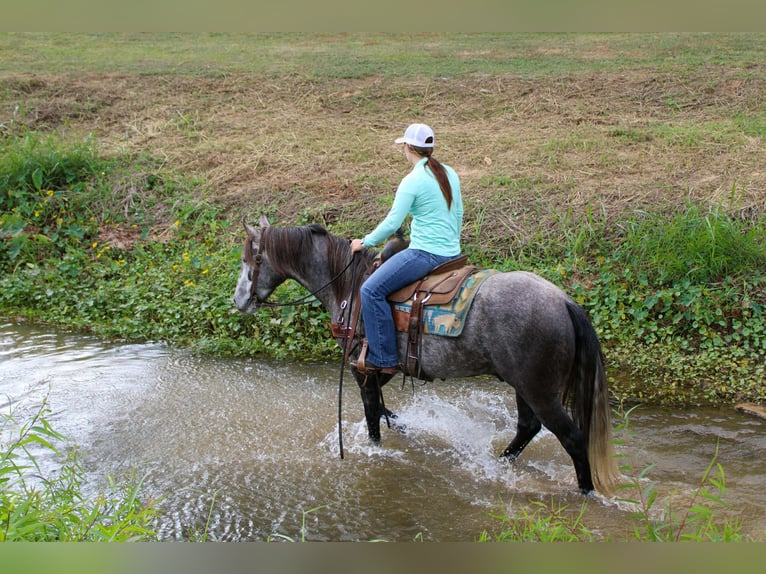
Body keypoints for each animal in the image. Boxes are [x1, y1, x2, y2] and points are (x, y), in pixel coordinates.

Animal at [233, 215, 620, 495]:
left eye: (251, 258)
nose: (238, 301)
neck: (349, 289)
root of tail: (565, 302)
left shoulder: (363, 369)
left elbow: (372, 416)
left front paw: (378, 448)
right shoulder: (383, 367)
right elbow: (383, 407)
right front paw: (405, 426)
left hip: (539, 390)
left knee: (572, 438)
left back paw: (585, 492)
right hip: (524, 386)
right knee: (527, 427)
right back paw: (499, 464)